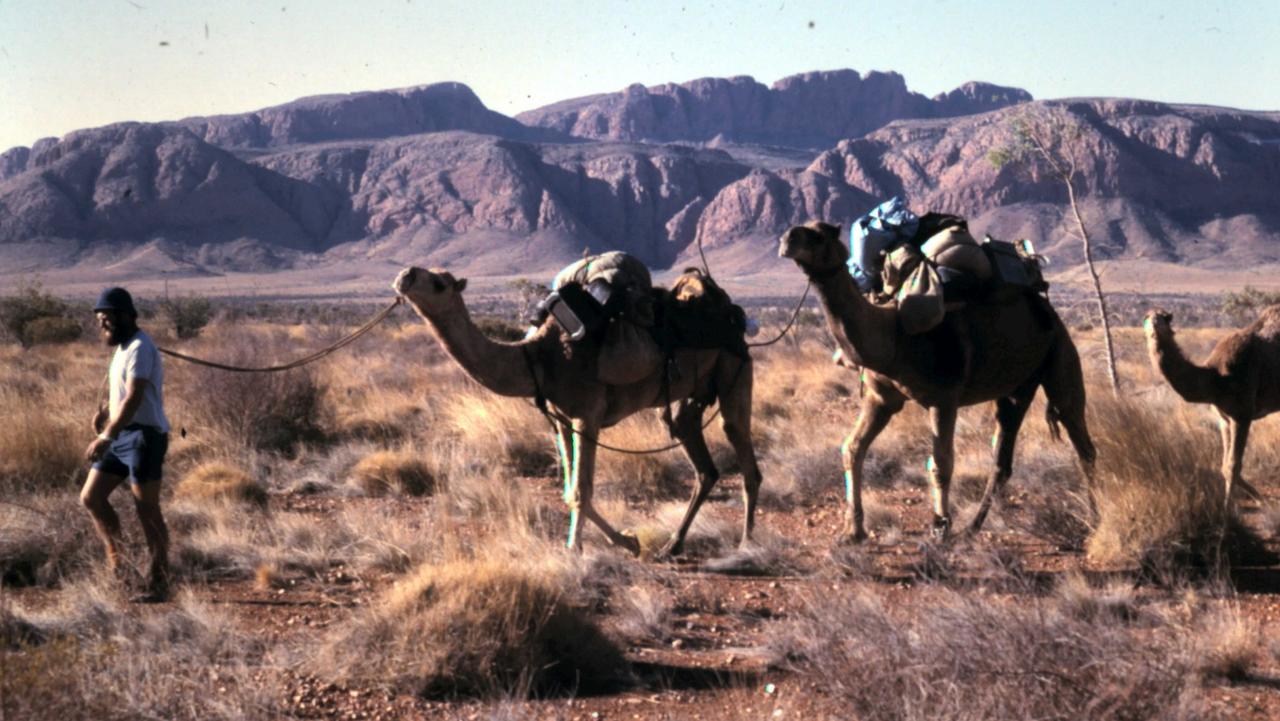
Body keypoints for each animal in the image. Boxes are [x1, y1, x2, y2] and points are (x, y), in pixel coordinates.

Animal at [389, 265, 757, 558]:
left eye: (439, 283)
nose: (406, 275)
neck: (539, 357)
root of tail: (730, 313)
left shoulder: (587, 414)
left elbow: (581, 489)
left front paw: (575, 547)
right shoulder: (562, 420)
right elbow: (569, 491)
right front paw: (628, 541)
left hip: (734, 366)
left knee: (741, 446)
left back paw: (746, 546)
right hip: (689, 396)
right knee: (699, 459)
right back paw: (673, 545)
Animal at [773, 220, 1095, 542]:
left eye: (818, 235)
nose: (787, 239)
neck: (894, 337)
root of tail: (1049, 311)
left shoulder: (943, 398)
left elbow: (940, 463)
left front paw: (941, 525)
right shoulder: (881, 399)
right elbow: (852, 448)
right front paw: (853, 530)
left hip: (1060, 354)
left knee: (1080, 437)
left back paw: (1094, 518)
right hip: (1016, 388)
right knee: (1002, 458)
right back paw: (973, 527)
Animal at [1146, 304, 1274, 502]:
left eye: (1166, 318)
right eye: (1146, 317)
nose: (1154, 324)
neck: (1216, 379)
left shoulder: (1242, 415)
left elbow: (1233, 466)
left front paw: (1228, 508)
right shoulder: (1224, 419)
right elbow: (1224, 467)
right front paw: (1258, 496)